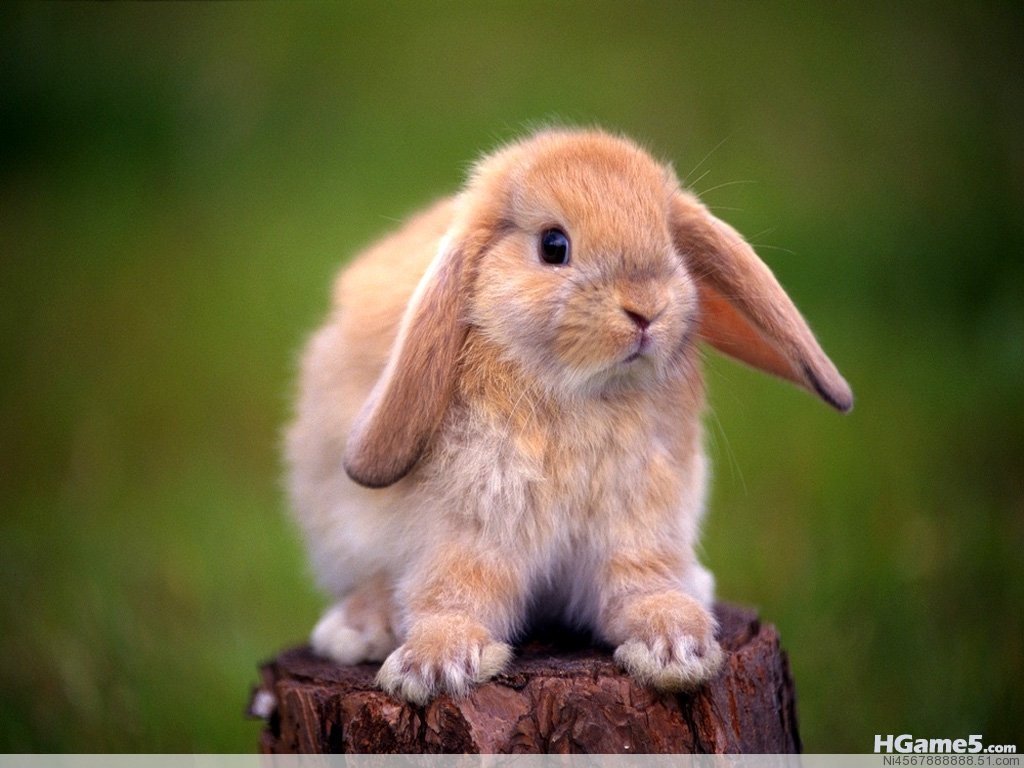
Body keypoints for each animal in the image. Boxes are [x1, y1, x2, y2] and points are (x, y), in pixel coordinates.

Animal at [285, 128, 852, 705]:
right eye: (553, 246)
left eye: (670, 242)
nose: (646, 309)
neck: (583, 392)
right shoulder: (471, 528)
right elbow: (454, 593)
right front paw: (432, 667)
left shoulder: (638, 524)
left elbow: (641, 586)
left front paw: (677, 649)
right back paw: (356, 631)